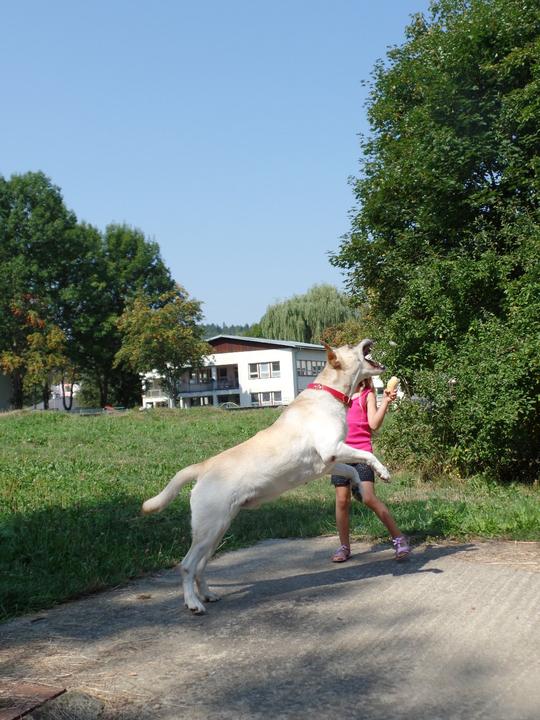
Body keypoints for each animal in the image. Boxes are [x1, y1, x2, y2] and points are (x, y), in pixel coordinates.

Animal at [142, 338, 390, 614]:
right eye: (349, 346)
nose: (368, 340)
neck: (329, 392)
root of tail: (203, 466)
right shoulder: (332, 449)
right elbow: (366, 455)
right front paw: (384, 471)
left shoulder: (328, 463)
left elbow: (352, 468)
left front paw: (359, 484)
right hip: (210, 528)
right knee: (187, 565)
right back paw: (193, 603)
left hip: (218, 528)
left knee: (200, 567)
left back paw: (207, 595)